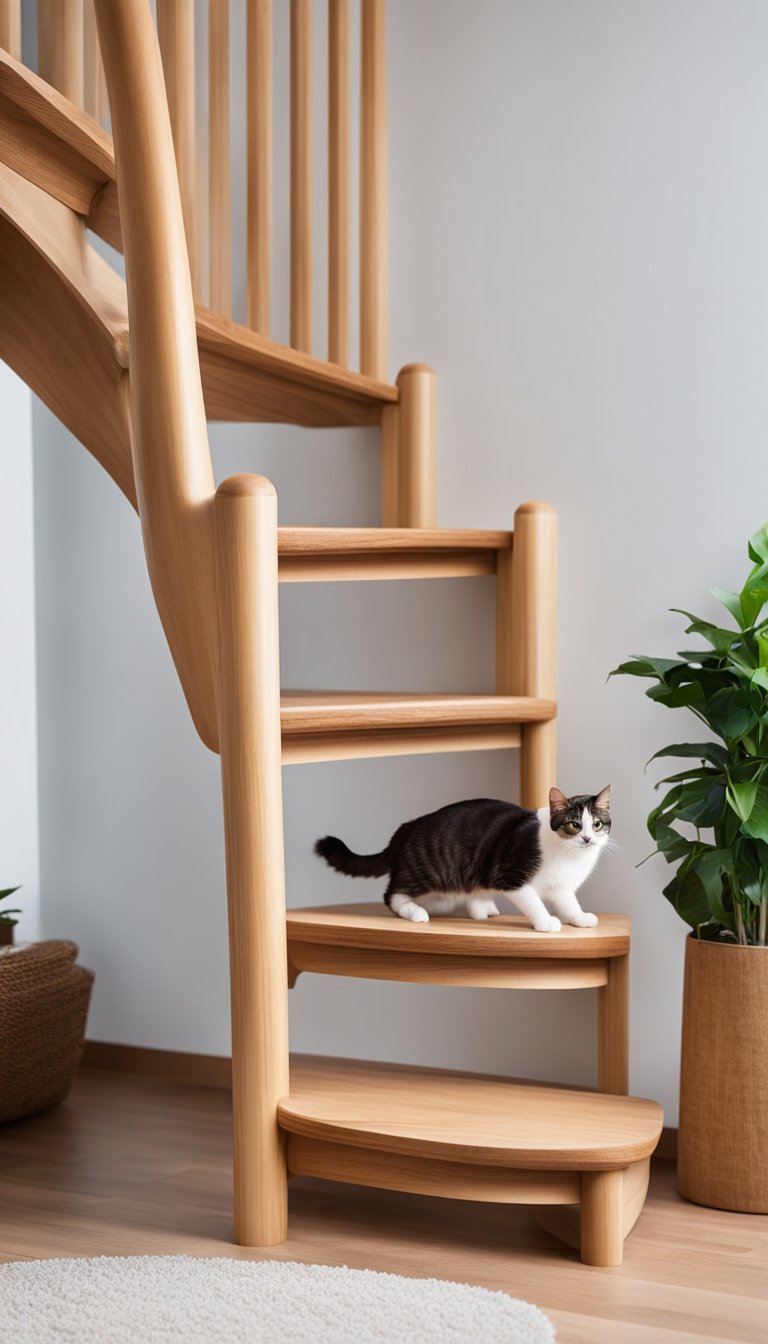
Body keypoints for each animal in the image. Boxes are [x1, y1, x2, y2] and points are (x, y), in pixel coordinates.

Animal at [313, 784, 613, 935]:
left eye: (597, 824)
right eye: (574, 825)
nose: (588, 838)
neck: (569, 855)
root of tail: (407, 827)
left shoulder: (562, 888)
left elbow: (568, 902)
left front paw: (579, 917)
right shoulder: (510, 875)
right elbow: (533, 901)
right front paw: (545, 922)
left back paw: (482, 907)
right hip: (429, 872)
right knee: (392, 893)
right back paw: (414, 912)